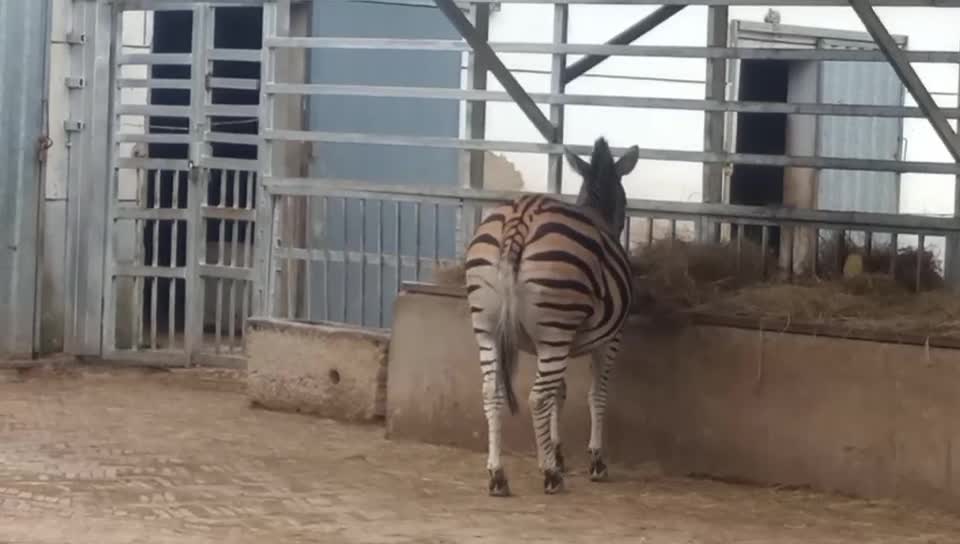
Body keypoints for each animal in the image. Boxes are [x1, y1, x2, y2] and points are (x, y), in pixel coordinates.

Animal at [464, 137, 636, 498]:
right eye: (625, 199)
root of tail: (521, 216)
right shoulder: (610, 338)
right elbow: (596, 395)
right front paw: (594, 461)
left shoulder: (559, 342)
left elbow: (561, 392)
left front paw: (555, 452)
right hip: (555, 329)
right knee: (536, 397)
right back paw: (550, 477)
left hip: (487, 327)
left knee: (491, 391)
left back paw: (497, 475)